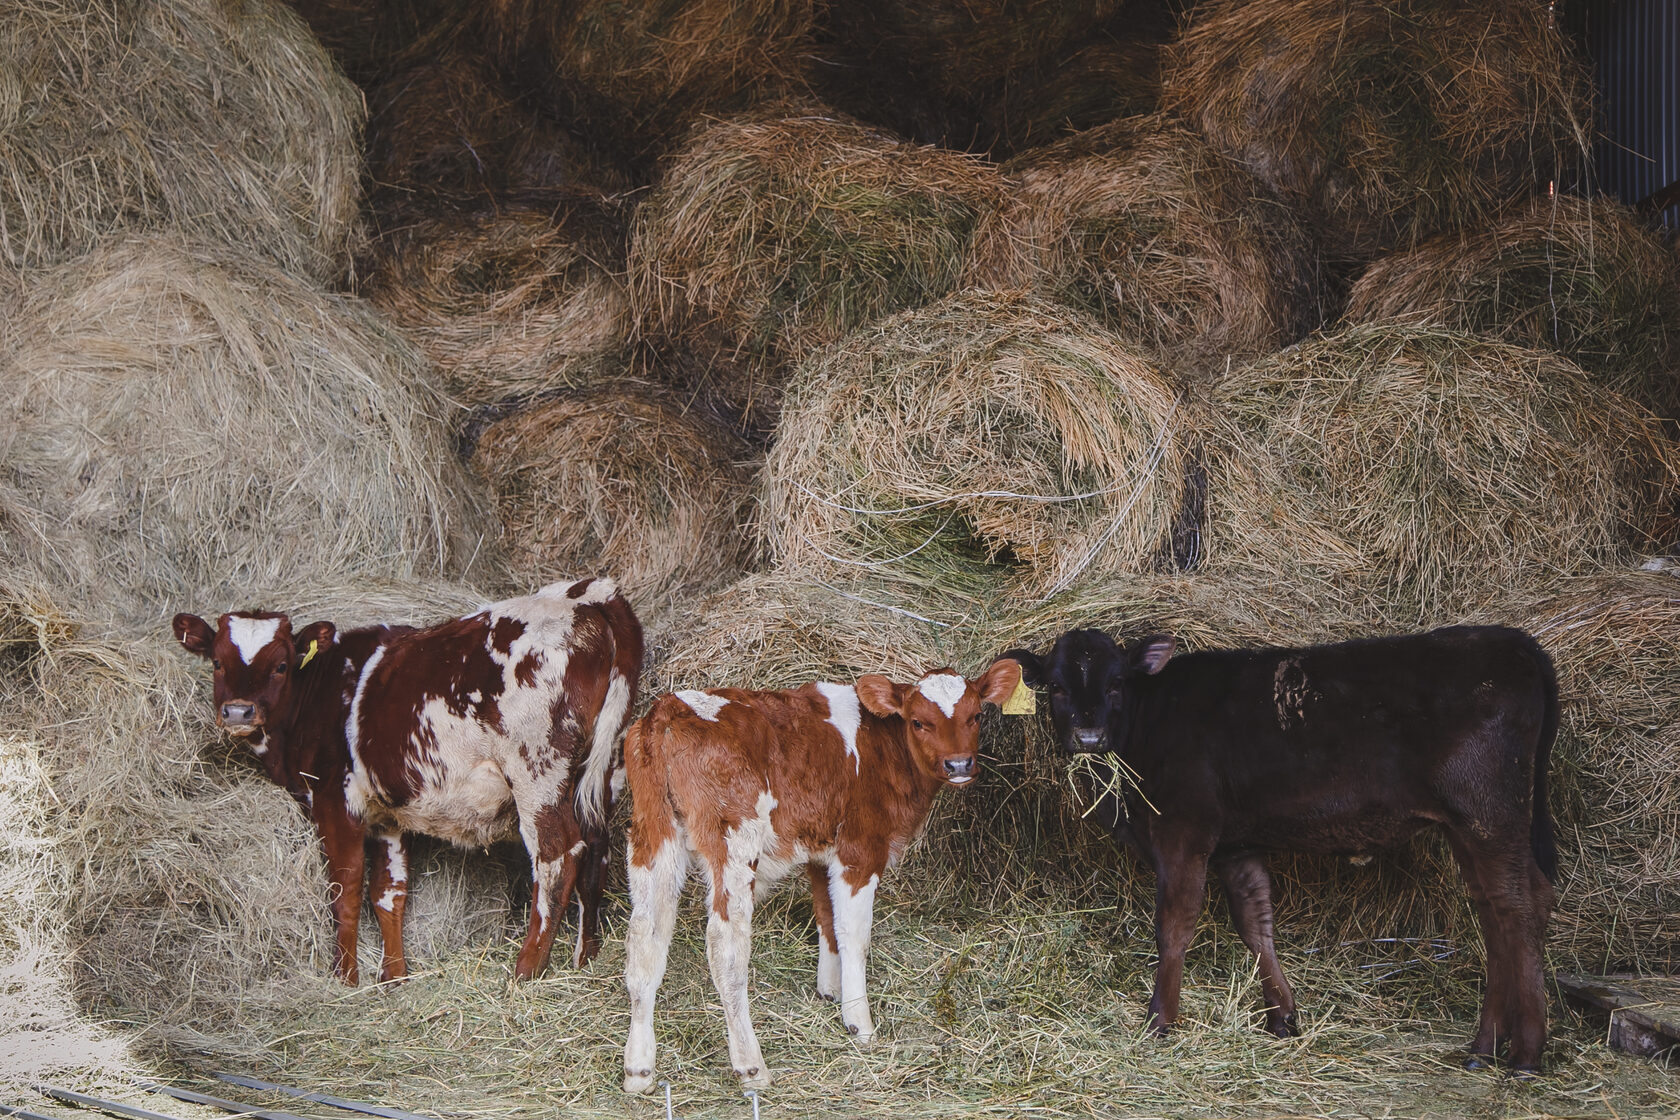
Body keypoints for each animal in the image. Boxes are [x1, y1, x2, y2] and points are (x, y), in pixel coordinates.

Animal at [172, 577, 642, 985]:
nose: (238, 711)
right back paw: (585, 959)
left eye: (282, 665)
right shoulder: (386, 818)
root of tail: (587, 594)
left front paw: (346, 979)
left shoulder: (334, 801)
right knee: (597, 848)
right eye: (217, 662)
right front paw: (393, 978)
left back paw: (526, 970)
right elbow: (388, 894)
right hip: (602, 772)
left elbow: (345, 891)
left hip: (537, 770)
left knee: (558, 856)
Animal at [619, 660, 1023, 1093]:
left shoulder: (820, 850)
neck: (881, 748)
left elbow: (826, 918)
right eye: (918, 722)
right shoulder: (860, 851)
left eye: (976, 715)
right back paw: (750, 1065)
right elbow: (854, 935)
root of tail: (667, 710)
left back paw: (639, 1069)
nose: (959, 765)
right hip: (734, 841)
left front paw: (831, 990)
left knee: (644, 939)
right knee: (725, 949)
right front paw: (858, 1021)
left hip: (652, 836)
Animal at [1000, 626, 1557, 1074]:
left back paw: (1526, 1054)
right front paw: (1282, 1016)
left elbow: (1174, 925)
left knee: (1519, 906)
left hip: (1489, 812)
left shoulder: (1184, 832)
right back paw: (1483, 1048)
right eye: (1056, 686)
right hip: (1467, 826)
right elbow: (1255, 922)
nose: (1089, 735)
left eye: (1116, 683)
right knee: (1498, 909)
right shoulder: (1235, 845)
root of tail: (1513, 640)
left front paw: (1160, 1019)